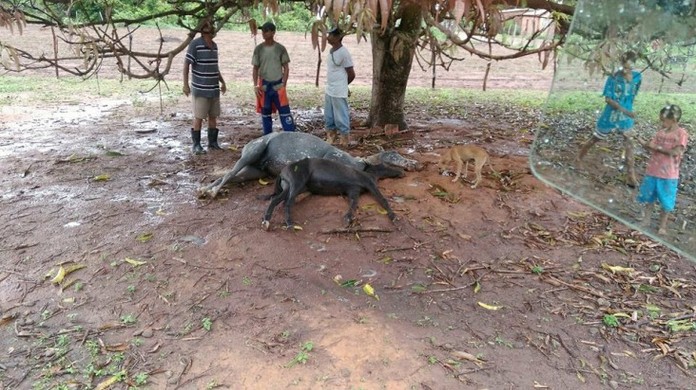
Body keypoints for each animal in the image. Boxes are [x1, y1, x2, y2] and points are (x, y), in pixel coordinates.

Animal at [198, 132, 422, 198]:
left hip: (254, 170)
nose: (415, 164)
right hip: (253, 151)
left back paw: (205, 189)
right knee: (228, 175)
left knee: (227, 175)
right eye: (392, 156)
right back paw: (213, 192)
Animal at [262, 155, 402, 229]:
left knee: (275, 200)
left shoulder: (354, 191)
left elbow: (353, 204)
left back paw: (266, 221)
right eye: (386, 165)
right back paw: (289, 223)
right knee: (288, 203)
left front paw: (348, 218)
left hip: (290, 187)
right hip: (297, 183)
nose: (402, 172)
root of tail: (282, 172)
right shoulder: (370, 185)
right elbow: (383, 200)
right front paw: (394, 217)